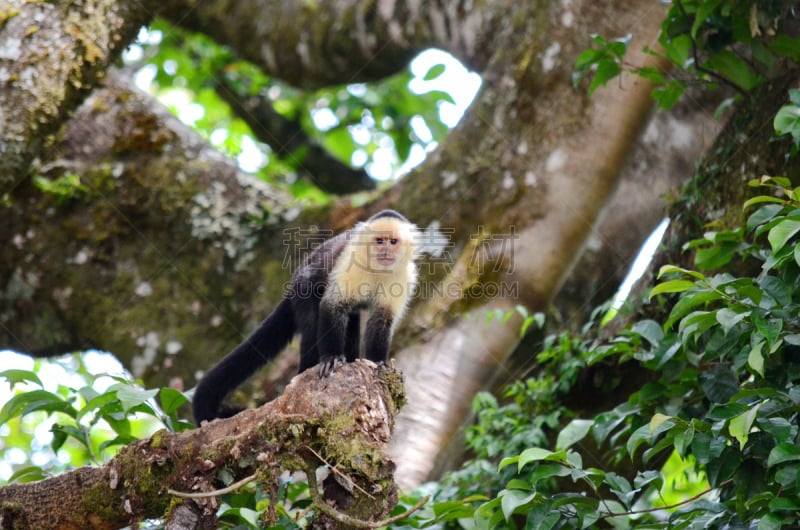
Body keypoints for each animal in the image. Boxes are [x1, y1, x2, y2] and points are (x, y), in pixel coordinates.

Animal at [192, 208, 418, 422]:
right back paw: (306, 370)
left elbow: (382, 319)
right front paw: (331, 358)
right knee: (312, 324)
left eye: (393, 241)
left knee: (351, 323)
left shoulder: (404, 276)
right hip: (303, 289)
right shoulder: (351, 263)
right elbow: (332, 305)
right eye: (379, 241)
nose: (385, 250)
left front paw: (378, 363)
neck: (379, 269)